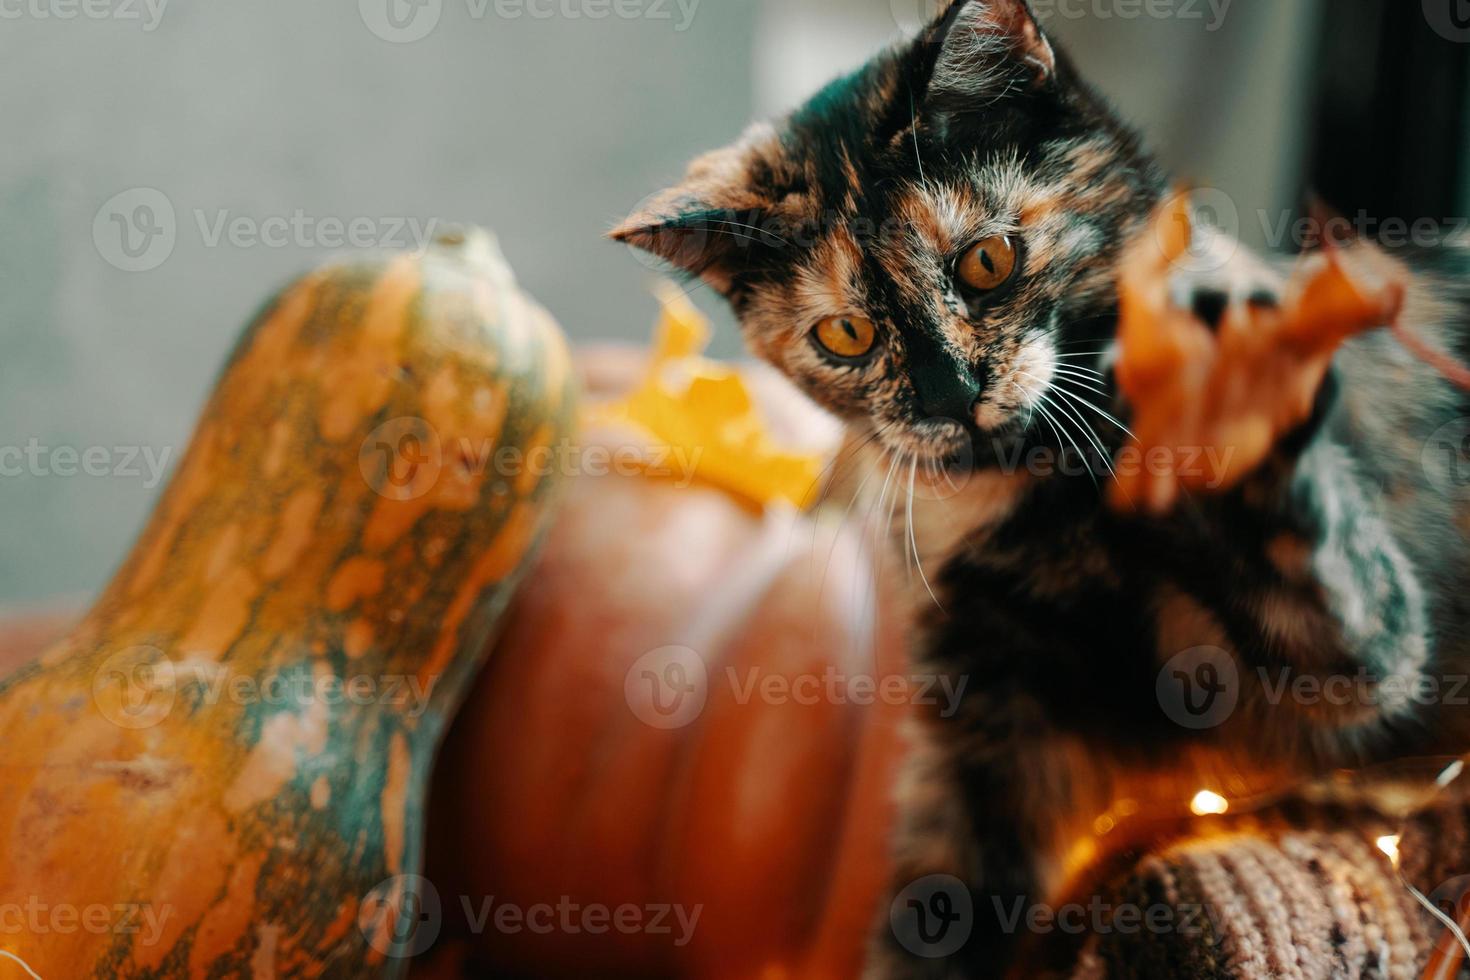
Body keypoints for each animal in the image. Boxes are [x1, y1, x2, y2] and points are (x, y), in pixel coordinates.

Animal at [611, 3, 1470, 975]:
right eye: (845, 334)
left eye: (987, 262)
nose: (950, 394)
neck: (1042, 510)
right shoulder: (983, 747)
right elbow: (933, 920)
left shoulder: (1355, 670)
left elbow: (1325, 586)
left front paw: (1230, 403)